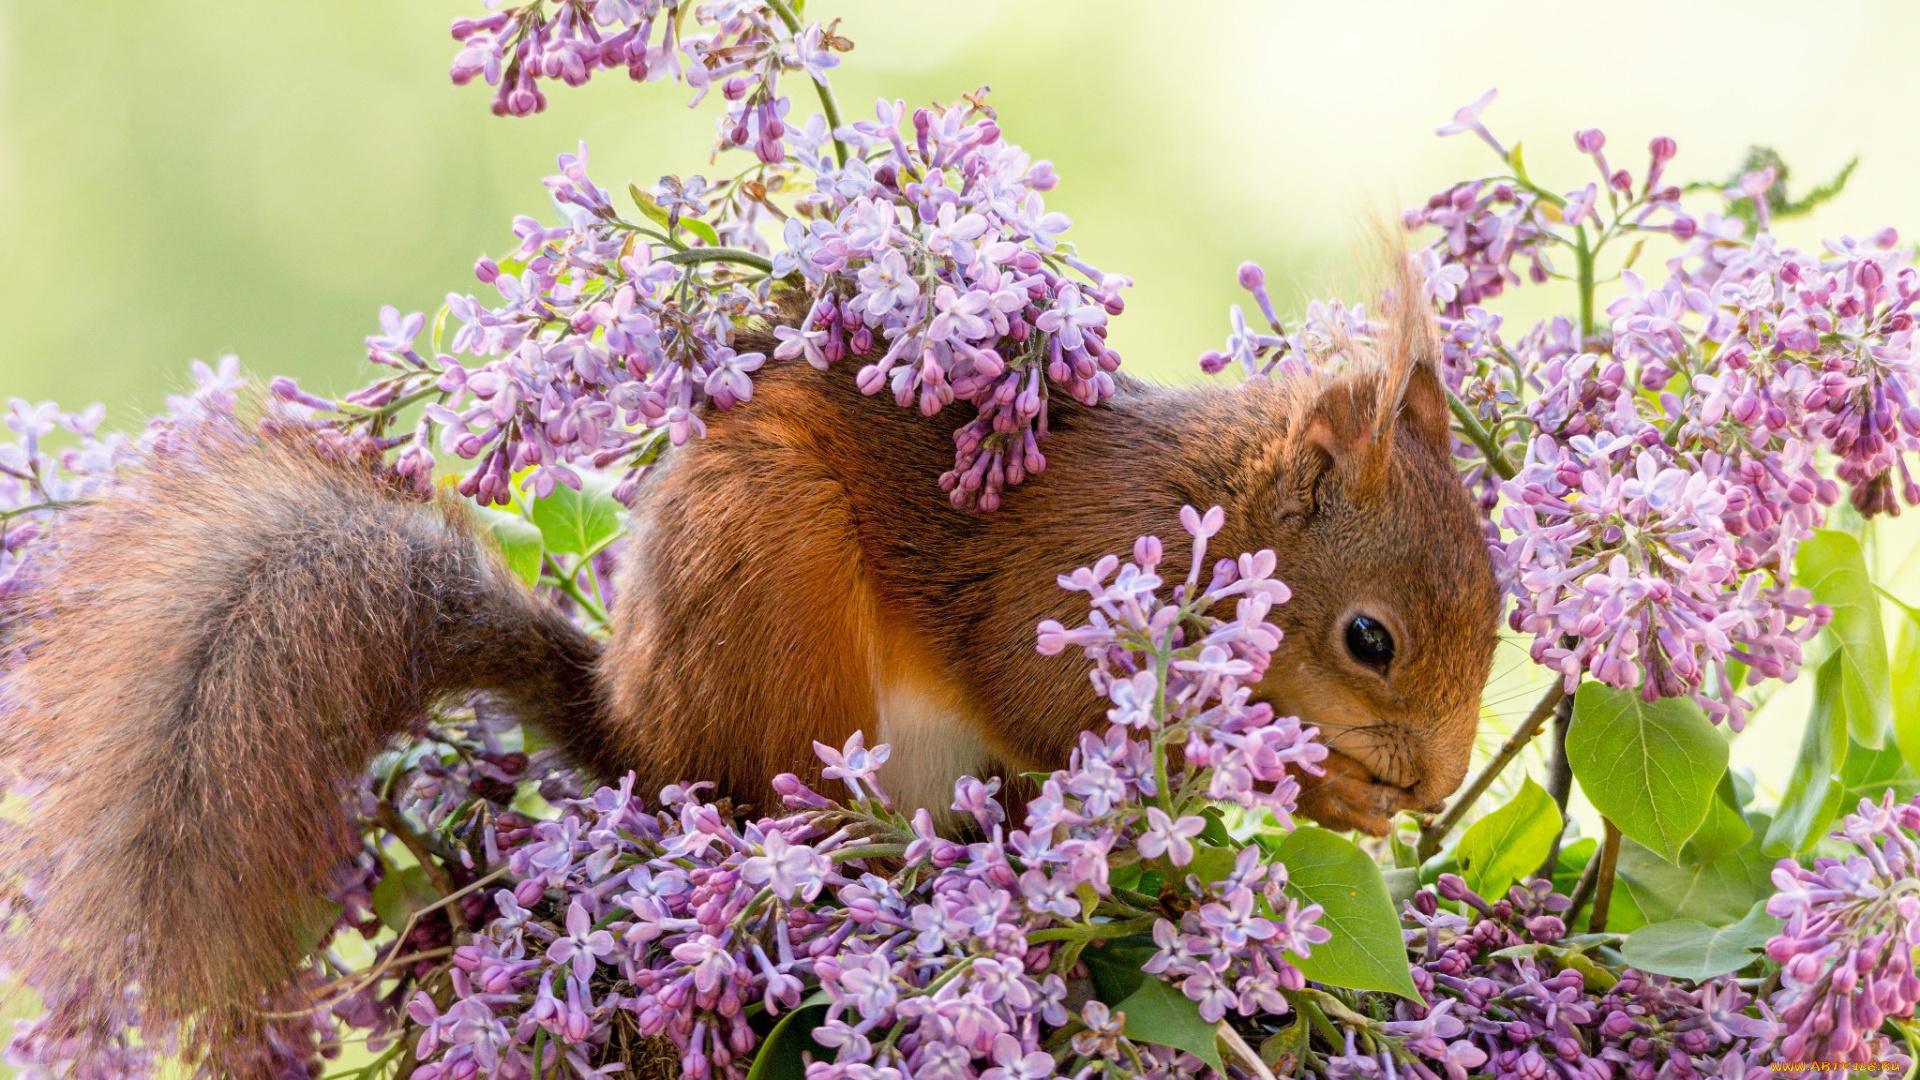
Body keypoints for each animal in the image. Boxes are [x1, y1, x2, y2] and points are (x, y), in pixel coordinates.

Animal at [0, 272, 1497, 1037]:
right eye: (1370, 639)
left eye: (1501, 614)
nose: (1430, 785)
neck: (1214, 508)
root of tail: (635, 730)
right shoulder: (1063, 572)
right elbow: (1044, 695)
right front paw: (1325, 786)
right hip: (773, 591)